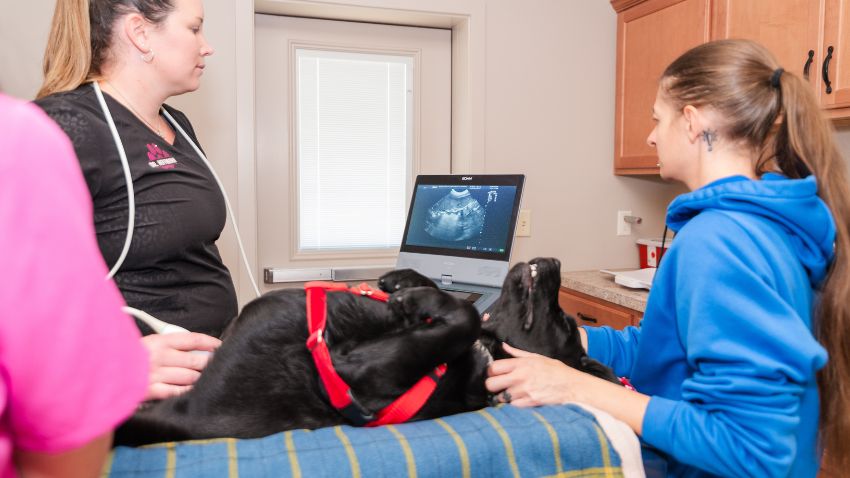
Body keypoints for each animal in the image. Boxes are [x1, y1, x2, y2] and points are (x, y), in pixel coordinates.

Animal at [114, 256, 616, 446]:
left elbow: (465, 314)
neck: (485, 356)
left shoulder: (365, 378)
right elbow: (451, 298)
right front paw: (404, 280)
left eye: (563, 320)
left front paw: (414, 299)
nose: (554, 262)